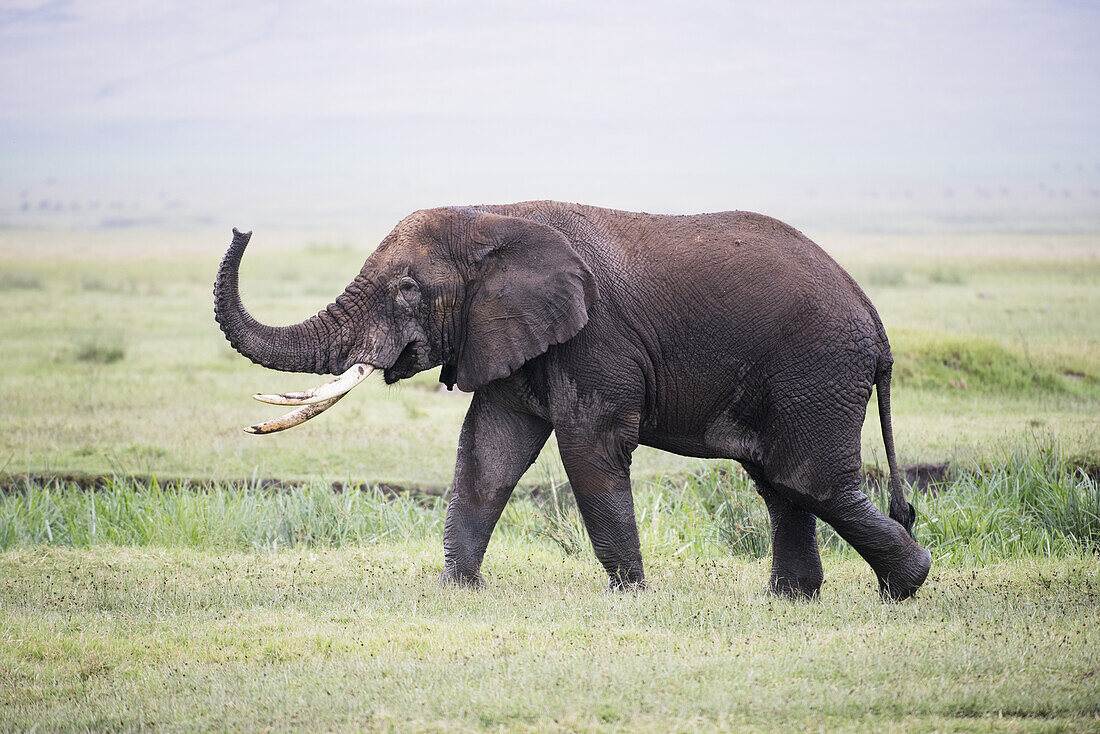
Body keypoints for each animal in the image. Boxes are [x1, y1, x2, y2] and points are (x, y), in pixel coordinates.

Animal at [216, 198, 937, 598]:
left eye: (407, 290)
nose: (243, 229)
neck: (492, 213)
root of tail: (877, 326)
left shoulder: (596, 338)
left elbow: (589, 445)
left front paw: (631, 596)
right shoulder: (506, 331)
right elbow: (488, 453)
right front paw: (457, 591)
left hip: (816, 372)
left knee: (806, 481)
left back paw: (906, 587)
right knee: (780, 483)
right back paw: (792, 601)